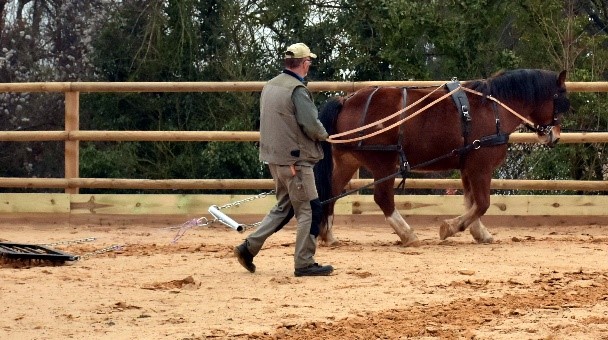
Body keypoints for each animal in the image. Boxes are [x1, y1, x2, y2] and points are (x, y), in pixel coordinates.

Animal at [314, 67, 568, 246]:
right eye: (560, 100)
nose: (554, 136)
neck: (494, 109)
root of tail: (346, 101)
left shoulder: (467, 167)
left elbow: (472, 201)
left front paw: (479, 232)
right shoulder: (481, 167)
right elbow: (482, 203)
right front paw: (451, 227)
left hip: (348, 161)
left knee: (331, 192)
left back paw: (328, 235)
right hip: (383, 163)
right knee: (383, 198)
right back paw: (408, 234)